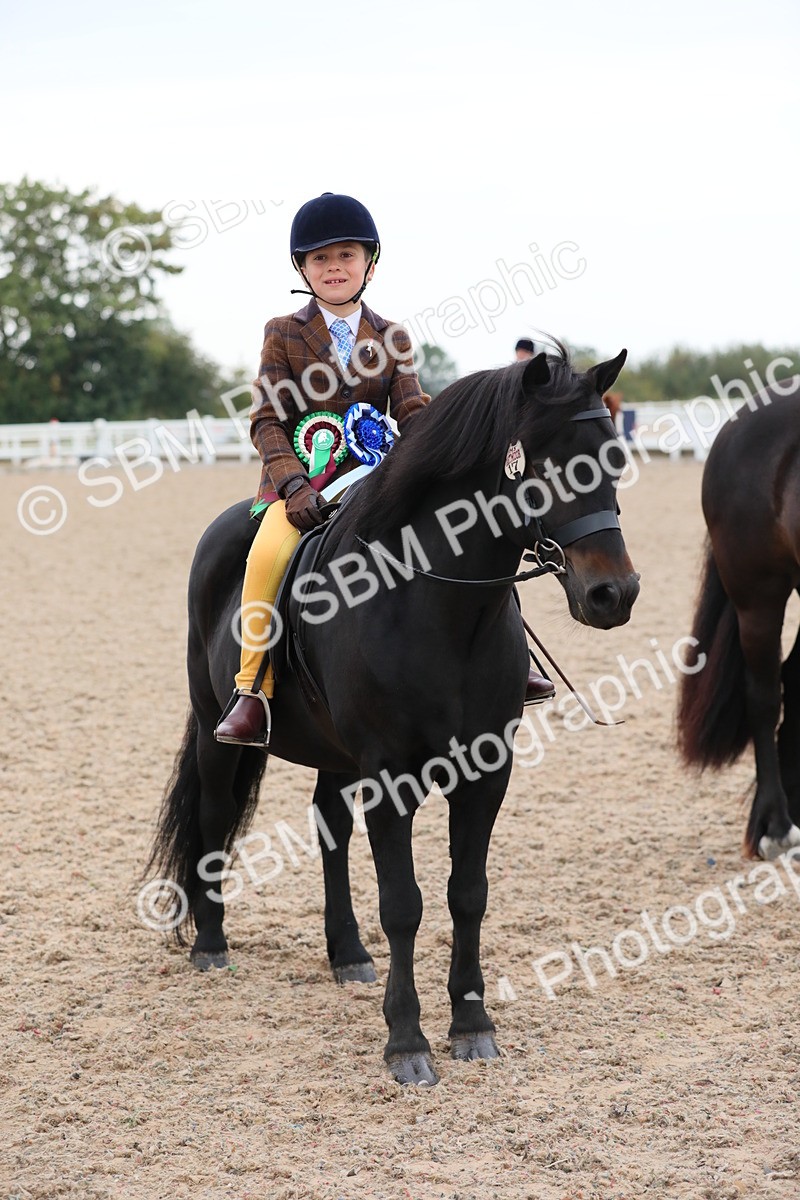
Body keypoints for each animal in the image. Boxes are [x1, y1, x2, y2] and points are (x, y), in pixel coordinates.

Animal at [146, 346, 640, 1086]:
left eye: (612, 459)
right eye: (552, 462)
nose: (615, 593)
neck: (441, 610)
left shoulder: (486, 772)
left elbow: (468, 892)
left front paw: (472, 1025)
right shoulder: (389, 777)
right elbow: (403, 904)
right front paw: (407, 1041)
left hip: (334, 754)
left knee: (329, 827)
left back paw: (347, 952)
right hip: (218, 731)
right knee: (212, 814)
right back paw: (210, 941)